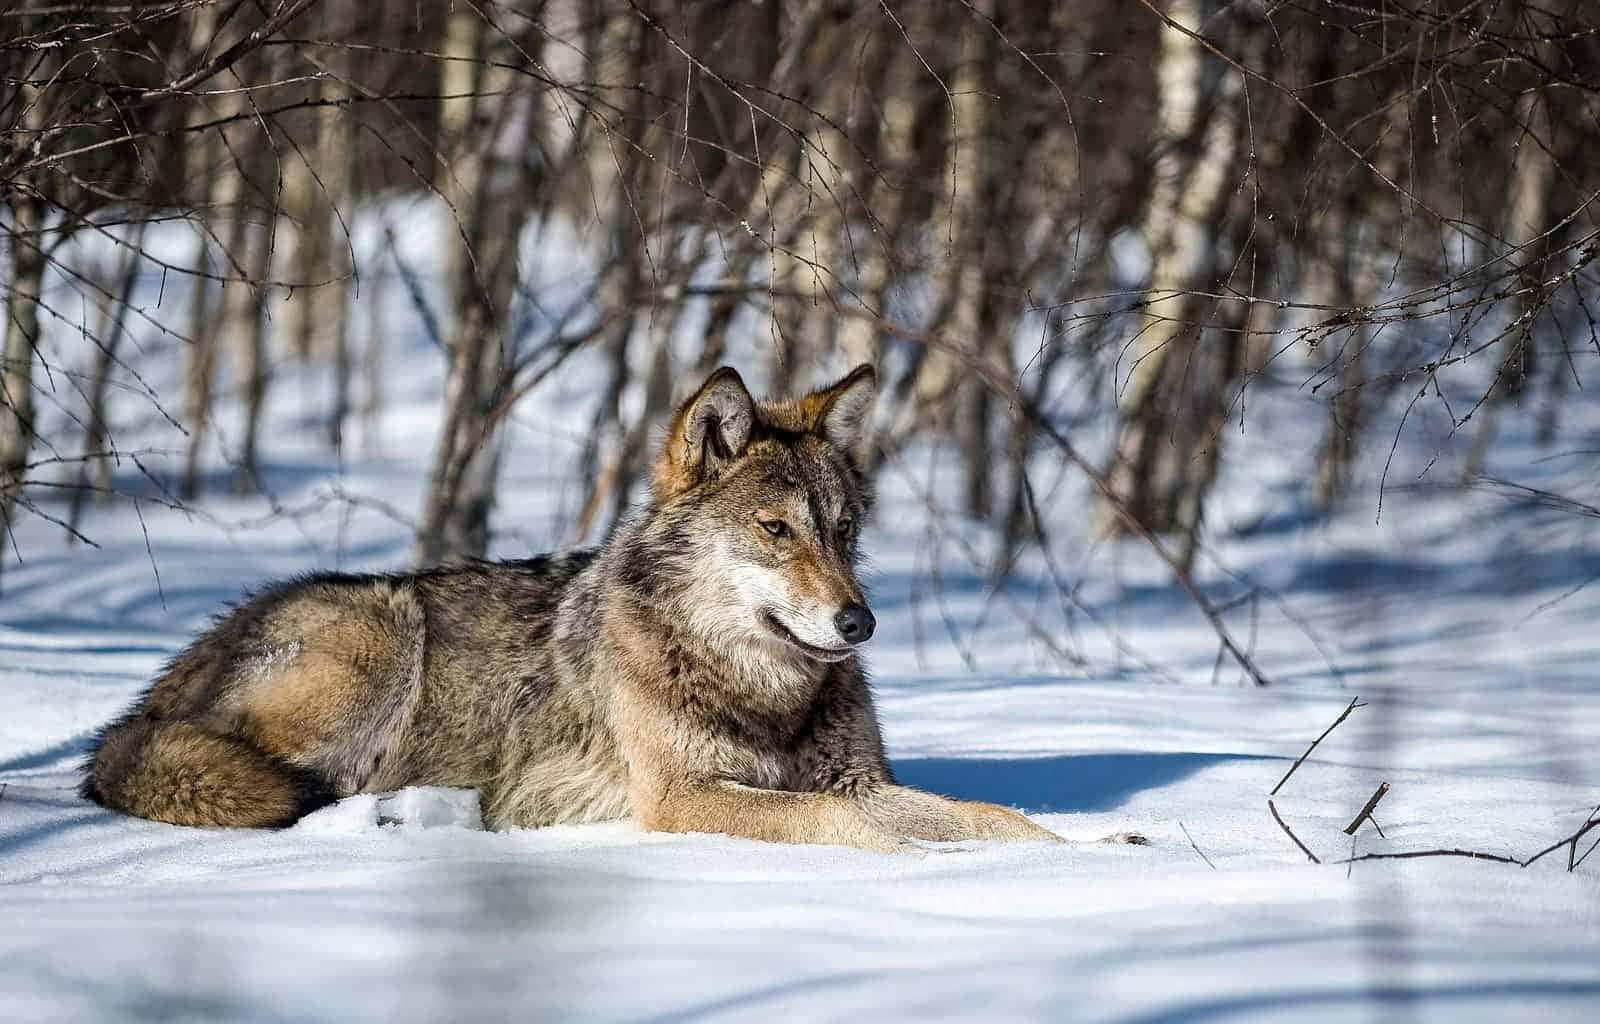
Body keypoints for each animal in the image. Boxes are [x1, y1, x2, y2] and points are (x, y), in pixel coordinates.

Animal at [84, 364, 1113, 851]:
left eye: (845, 530)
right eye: (777, 531)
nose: (858, 624)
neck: (760, 690)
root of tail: (152, 693)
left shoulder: (856, 778)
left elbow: (988, 814)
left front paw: (1089, 849)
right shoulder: (685, 796)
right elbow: (850, 830)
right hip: (382, 638)